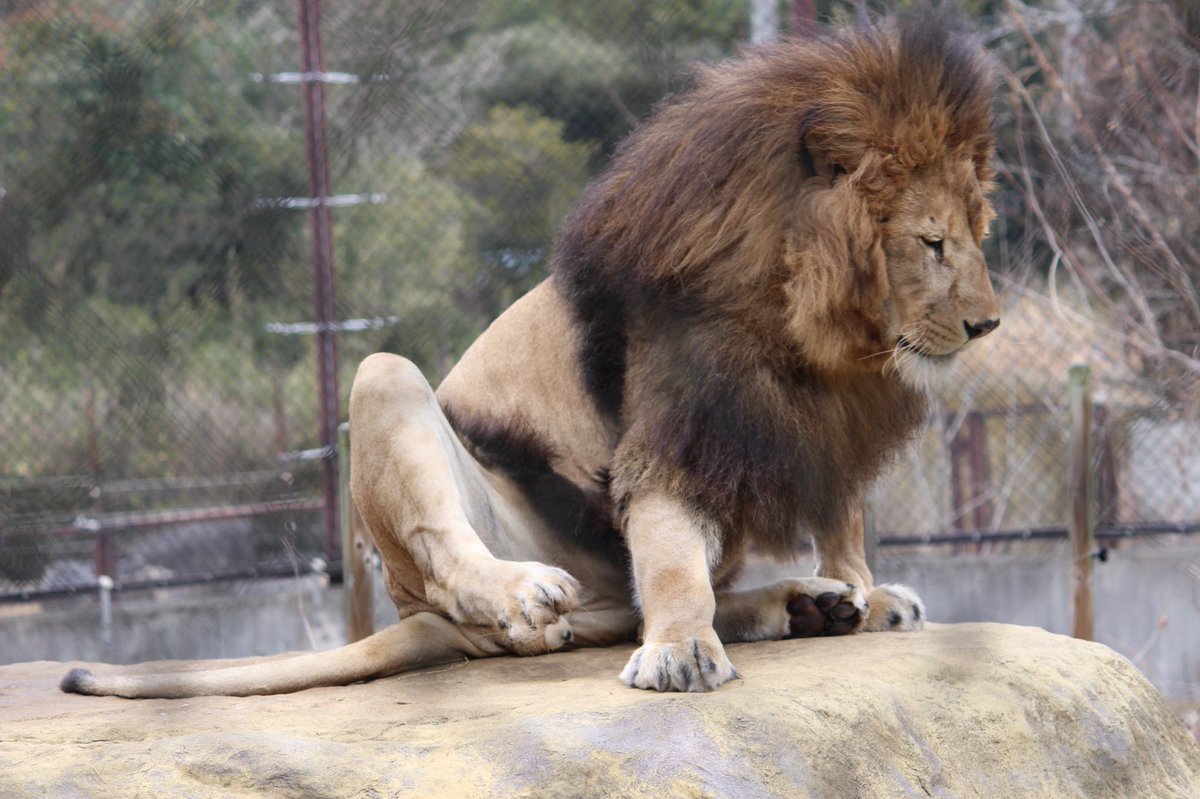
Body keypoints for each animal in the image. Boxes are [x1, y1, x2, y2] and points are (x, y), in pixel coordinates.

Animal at [63, 6, 1003, 695]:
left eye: (976, 231)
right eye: (931, 243)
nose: (988, 325)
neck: (811, 335)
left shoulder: (827, 426)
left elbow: (841, 522)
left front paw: (861, 585)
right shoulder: (675, 433)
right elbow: (671, 564)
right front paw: (681, 650)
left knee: (654, 600)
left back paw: (814, 602)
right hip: (394, 400)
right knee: (472, 565)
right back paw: (524, 593)